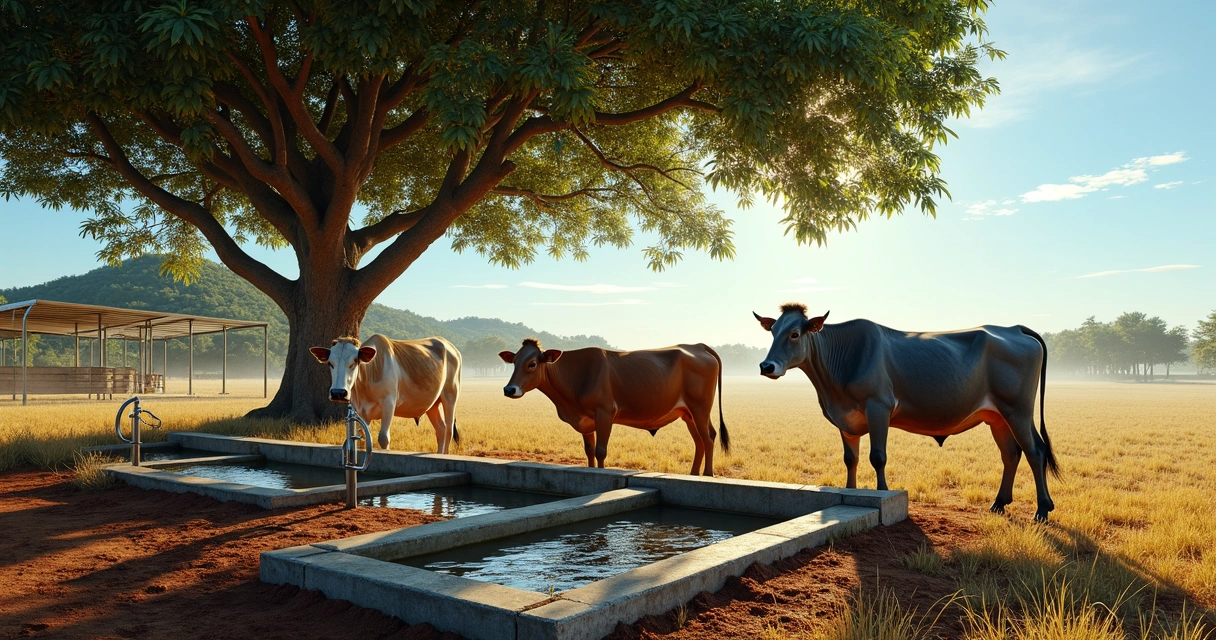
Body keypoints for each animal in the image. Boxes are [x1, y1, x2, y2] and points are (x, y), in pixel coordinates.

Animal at [310, 335, 461, 453]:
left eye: (354, 362)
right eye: (330, 363)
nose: (338, 393)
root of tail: (451, 347)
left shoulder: (389, 403)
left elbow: (383, 438)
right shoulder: (360, 410)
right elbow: (364, 438)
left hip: (450, 396)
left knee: (449, 430)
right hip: (432, 405)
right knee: (441, 430)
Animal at [498, 339, 730, 476]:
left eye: (532, 364)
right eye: (514, 362)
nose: (509, 389)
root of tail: (697, 345)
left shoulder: (605, 412)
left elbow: (601, 451)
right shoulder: (586, 421)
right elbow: (589, 451)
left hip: (700, 408)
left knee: (708, 438)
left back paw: (708, 475)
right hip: (687, 413)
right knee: (700, 440)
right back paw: (694, 474)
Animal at [754, 303, 1059, 522]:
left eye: (794, 334)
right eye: (772, 331)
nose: (766, 366)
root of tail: (1014, 328)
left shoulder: (879, 406)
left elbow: (877, 456)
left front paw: (883, 495)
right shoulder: (845, 420)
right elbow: (850, 459)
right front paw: (849, 491)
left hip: (1018, 410)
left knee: (1035, 450)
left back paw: (1042, 510)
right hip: (997, 416)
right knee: (1011, 453)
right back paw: (998, 504)